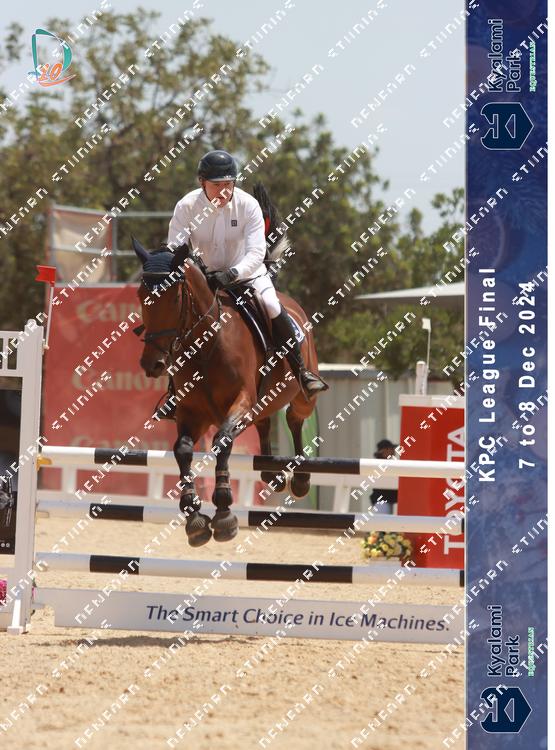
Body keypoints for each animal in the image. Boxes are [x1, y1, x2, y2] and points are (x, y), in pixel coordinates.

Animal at [133, 238, 327, 547]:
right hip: (262, 405)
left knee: (295, 419)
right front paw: (194, 517)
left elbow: (222, 441)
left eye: (174, 297)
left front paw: (223, 512)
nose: (152, 364)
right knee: (265, 423)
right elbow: (182, 449)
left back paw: (300, 479)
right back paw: (271, 473)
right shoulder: (192, 414)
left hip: (301, 394)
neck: (206, 346)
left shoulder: (241, 402)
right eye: (141, 295)